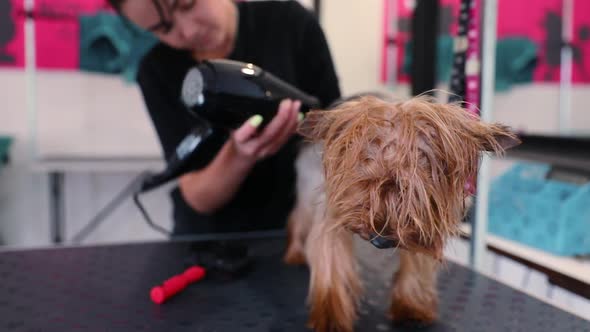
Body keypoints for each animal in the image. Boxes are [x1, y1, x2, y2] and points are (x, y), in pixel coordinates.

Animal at [284, 93, 520, 332]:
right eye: (364, 185)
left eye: (413, 195)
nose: (379, 240)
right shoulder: (332, 210)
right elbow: (331, 260)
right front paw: (330, 316)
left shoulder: (425, 225)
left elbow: (417, 259)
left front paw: (411, 307)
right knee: (298, 218)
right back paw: (295, 252)